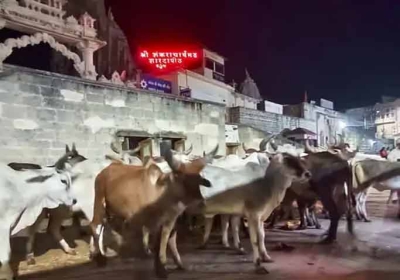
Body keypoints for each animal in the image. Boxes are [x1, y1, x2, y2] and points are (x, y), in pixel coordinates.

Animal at [90, 147, 216, 278]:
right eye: (183, 179)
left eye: (198, 180)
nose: (201, 201)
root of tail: (107, 169)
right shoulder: (153, 222)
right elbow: (157, 244)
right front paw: (161, 270)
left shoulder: (170, 221)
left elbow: (166, 240)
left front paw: (170, 265)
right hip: (99, 201)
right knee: (95, 225)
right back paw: (100, 259)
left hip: (110, 209)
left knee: (103, 226)